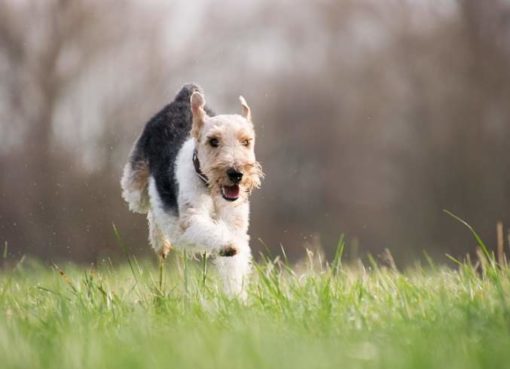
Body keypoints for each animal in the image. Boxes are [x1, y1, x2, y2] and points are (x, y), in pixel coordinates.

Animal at [121, 84, 260, 296]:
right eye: (213, 141)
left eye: (246, 141)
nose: (236, 173)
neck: (210, 188)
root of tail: (183, 95)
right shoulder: (192, 218)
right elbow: (209, 232)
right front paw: (227, 245)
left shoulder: (236, 224)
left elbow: (234, 265)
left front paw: (236, 297)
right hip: (135, 190)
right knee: (151, 207)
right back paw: (160, 242)